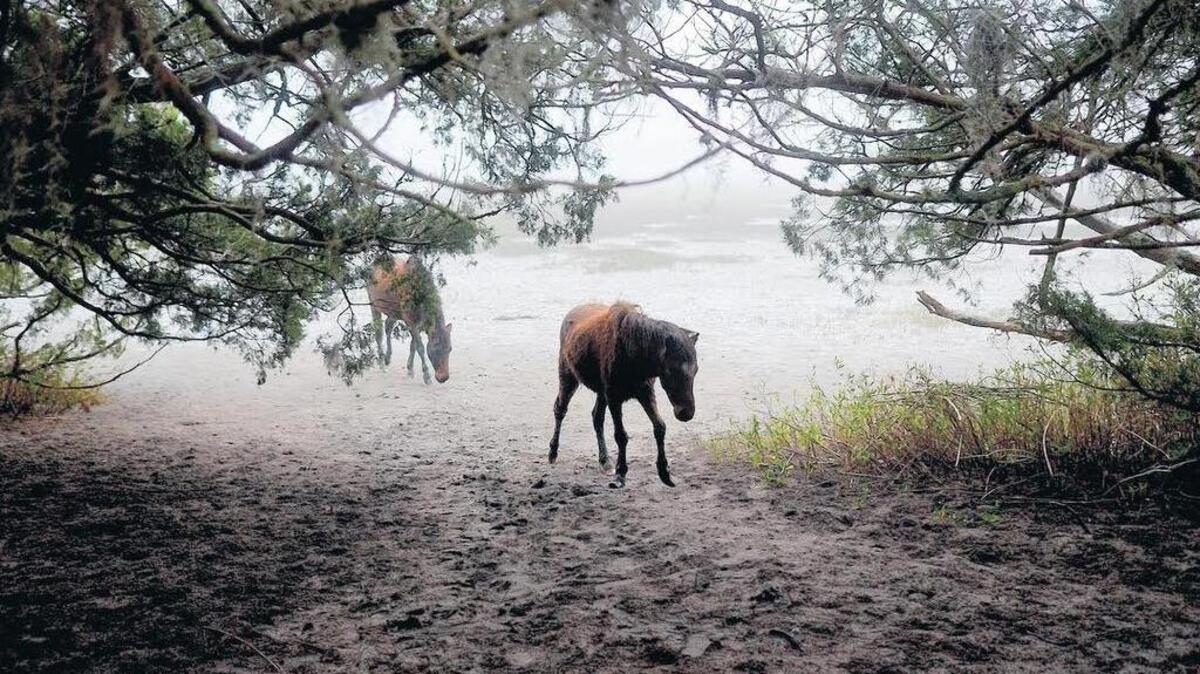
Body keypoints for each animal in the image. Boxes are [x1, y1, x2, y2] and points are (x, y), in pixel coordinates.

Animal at [366, 256, 453, 384]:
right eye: (436, 346)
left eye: (450, 348)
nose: (443, 377)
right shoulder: (411, 322)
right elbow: (420, 347)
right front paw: (426, 376)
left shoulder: (418, 325)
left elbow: (413, 346)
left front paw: (410, 369)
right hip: (374, 305)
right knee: (379, 333)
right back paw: (382, 363)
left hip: (394, 312)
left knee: (388, 326)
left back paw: (387, 358)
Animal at [549, 302, 699, 488]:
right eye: (671, 370)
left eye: (696, 370)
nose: (686, 413)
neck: (637, 360)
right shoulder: (614, 396)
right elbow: (621, 435)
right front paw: (621, 474)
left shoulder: (645, 392)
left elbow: (660, 426)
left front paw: (665, 473)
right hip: (568, 376)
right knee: (560, 409)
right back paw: (552, 453)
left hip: (600, 391)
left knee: (596, 416)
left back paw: (605, 461)